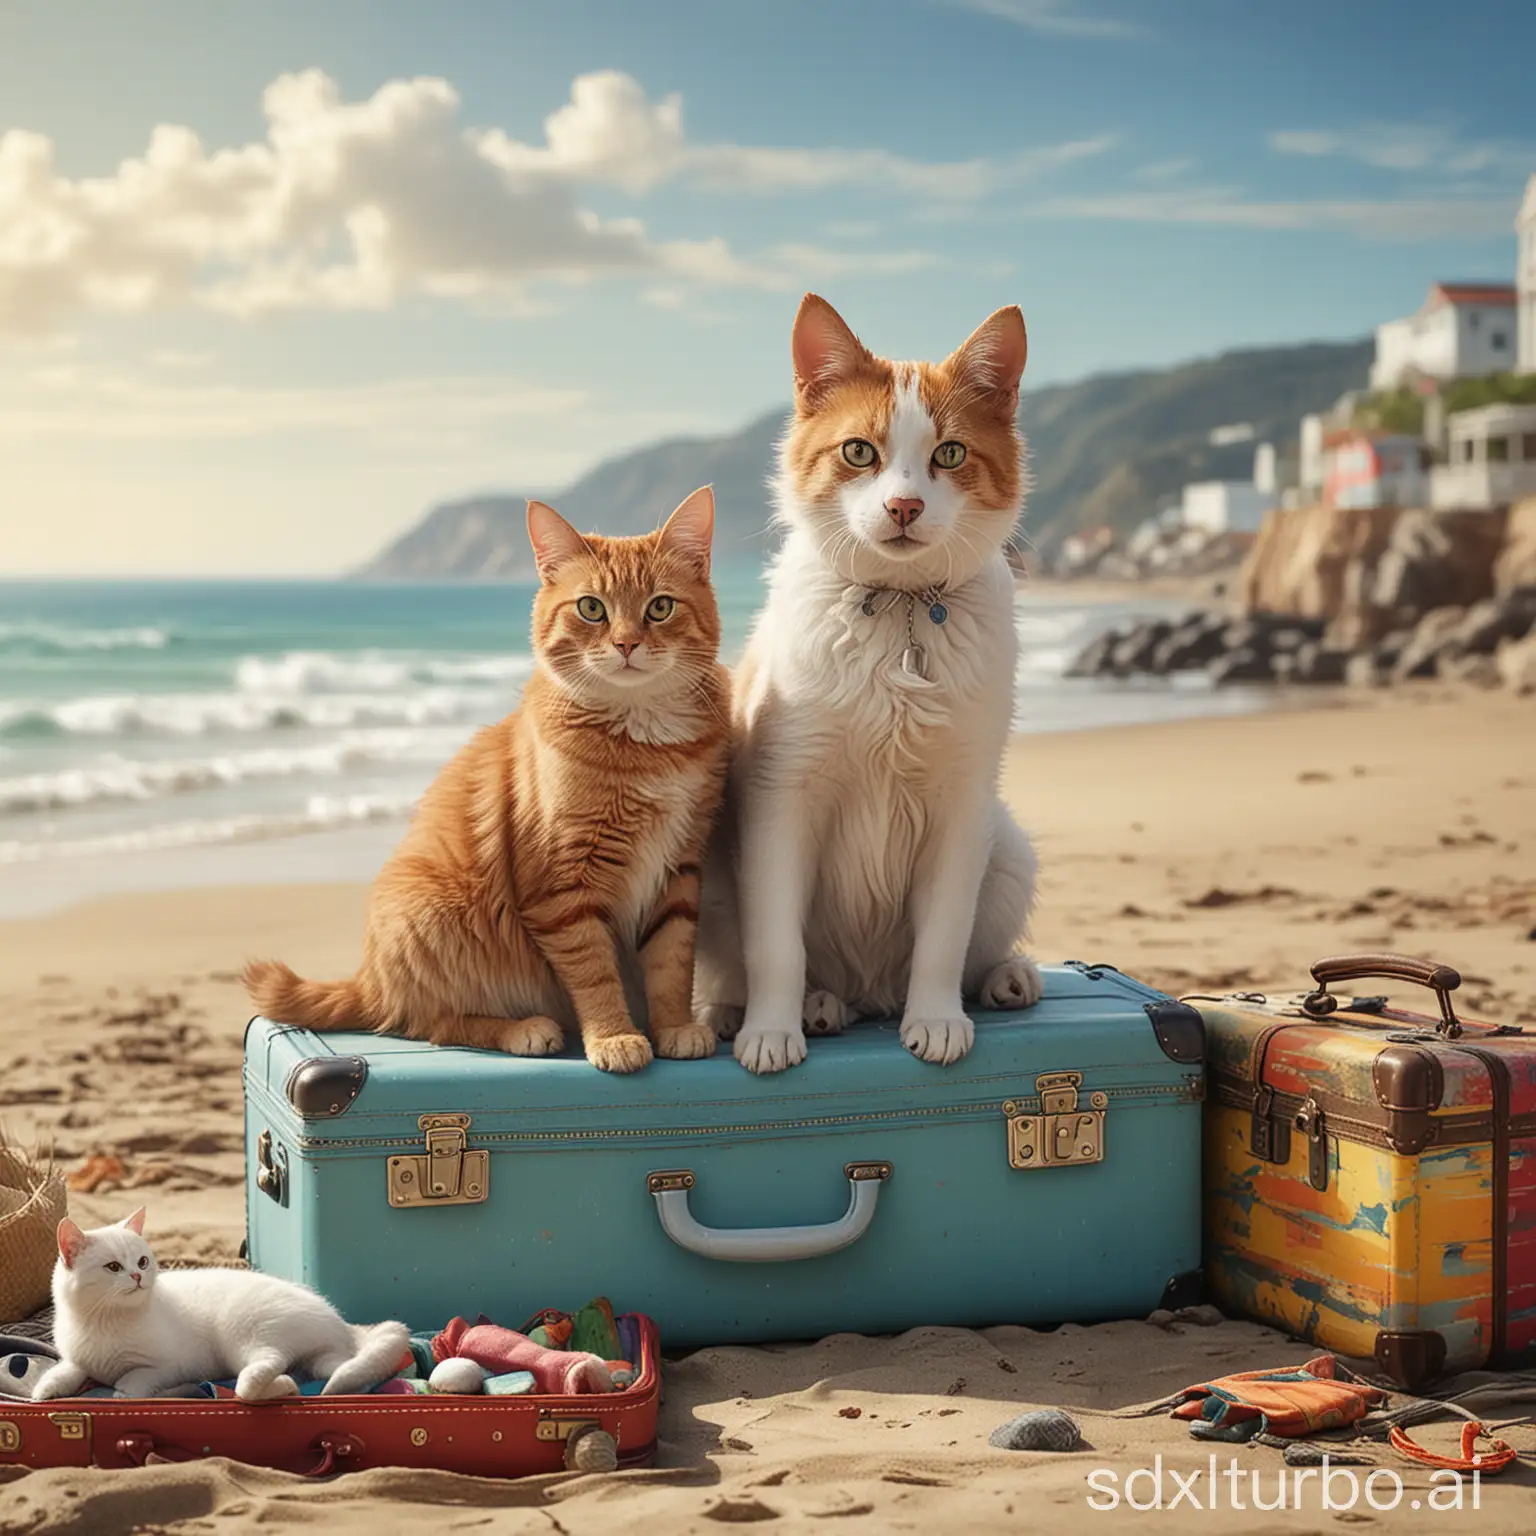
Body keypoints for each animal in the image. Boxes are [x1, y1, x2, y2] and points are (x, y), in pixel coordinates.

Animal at [36, 1210, 408, 1406]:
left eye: (142, 1260)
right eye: (113, 1267)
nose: (138, 1275)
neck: (104, 1320)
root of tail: (340, 1322)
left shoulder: (170, 1365)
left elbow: (131, 1382)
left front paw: (121, 1389)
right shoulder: (77, 1358)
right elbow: (68, 1369)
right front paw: (46, 1388)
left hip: (242, 1335)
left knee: (261, 1373)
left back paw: (278, 1386)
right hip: (321, 1361)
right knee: (335, 1368)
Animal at [244, 485, 731, 1075]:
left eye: (660, 607)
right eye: (591, 608)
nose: (626, 645)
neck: (645, 743)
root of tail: (369, 978)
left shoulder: (679, 870)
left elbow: (671, 963)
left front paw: (675, 1026)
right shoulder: (563, 888)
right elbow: (595, 972)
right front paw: (615, 1035)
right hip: (433, 912)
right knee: (429, 1023)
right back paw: (525, 1029)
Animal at [700, 293, 1044, 1075]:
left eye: (950, 454)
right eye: (859, 451)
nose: (904, 508)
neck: (900, 610)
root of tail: (869, 993)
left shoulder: (960, 806)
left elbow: (944, 936)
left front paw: (937, 1018)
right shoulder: (782, 796)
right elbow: (776, 946)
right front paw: (771, 1028)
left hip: (1006, 843)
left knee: (974, 950)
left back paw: (1006, 977)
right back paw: (797, 1008)